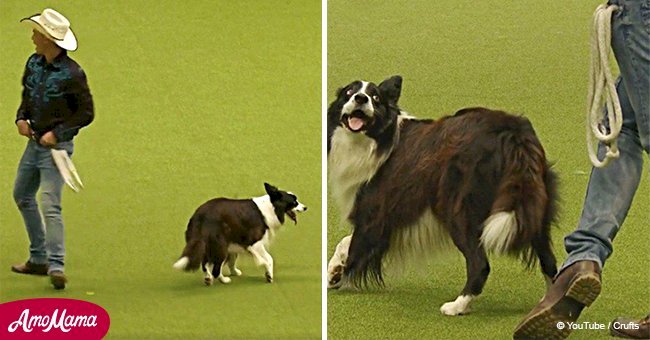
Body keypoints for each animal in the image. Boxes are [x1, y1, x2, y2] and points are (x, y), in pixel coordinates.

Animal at [175, 183, 306, 284]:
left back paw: (208, 278)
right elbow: (269, 258)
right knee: (216, 268)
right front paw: (268, 274)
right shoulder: (255, 242)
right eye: (294, 202)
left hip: (210, 244)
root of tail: (199, 217)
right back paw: (224, 280)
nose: (305, 208)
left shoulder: (235, 242)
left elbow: (232, 260)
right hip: (220, 244)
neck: (271, 207)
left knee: (205, 264)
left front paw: (235, 272)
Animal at [330, 75, 556, 314]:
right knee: (549, 260)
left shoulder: (373, 210)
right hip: (532, 206)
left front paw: (335, 276)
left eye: (375, 98)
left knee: (480, 264)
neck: (378, 139)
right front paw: (335, 272)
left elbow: (353, 243)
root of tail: (513, 133)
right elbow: (348, 241)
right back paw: (549, 303)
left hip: (459, 210)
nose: (360, 98)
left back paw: (457, 306)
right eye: (349, 92)